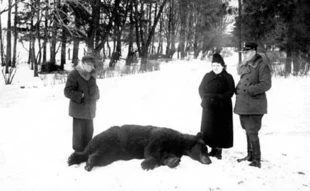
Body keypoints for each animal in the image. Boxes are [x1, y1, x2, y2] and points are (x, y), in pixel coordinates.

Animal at [67, 124, 212, 171]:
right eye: (205, 149)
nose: (210, 161)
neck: (180, 143)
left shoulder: (171, 148)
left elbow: (166, 156)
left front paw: (174, 161)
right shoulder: (161, 137)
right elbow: (152, 150)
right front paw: (146, 164)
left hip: (111, 153)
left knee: (97, 155)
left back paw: (85, 163)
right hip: (109, 140)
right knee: (90, 151)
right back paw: (76, 159)